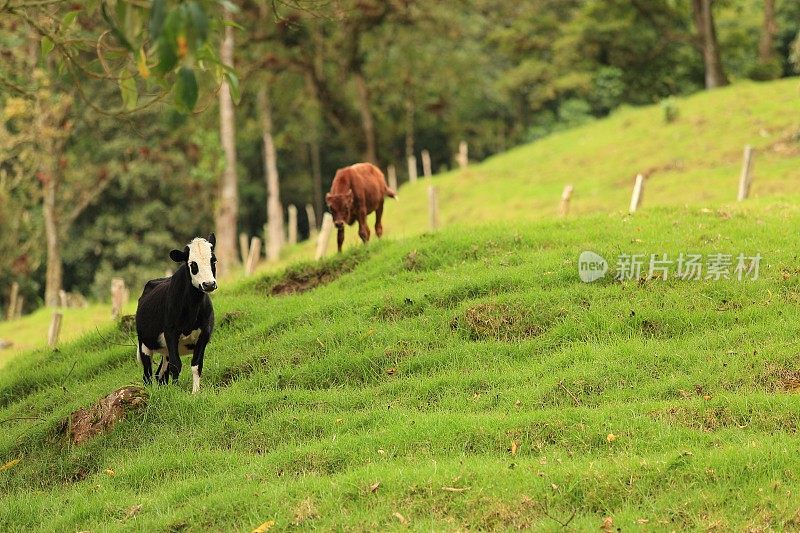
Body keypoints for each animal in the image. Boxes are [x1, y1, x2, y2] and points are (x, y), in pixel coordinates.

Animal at [135, 235, 216, 392]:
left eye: (213, 260)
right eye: (192, 264)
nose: (209, 284)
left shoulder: (205, 333)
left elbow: (196, 365)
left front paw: (195, 393)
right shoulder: (171, 332)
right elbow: (176, 365)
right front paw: (177, 392)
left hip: (165, 350)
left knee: (160, 374)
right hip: (144, 344)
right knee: (147, 374)